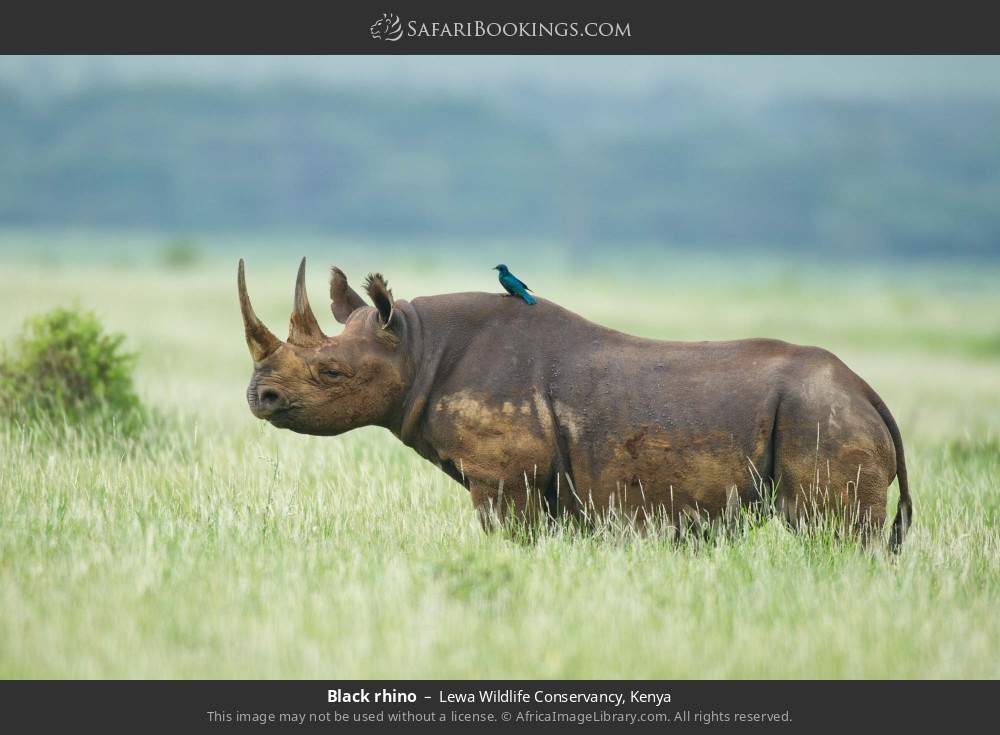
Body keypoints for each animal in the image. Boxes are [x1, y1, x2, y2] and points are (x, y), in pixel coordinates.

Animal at [238, 258, 912, 550]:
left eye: (330, 372)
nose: (258, 396)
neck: (416, 347)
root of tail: (867, 392)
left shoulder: (503, 476)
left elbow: (508, 537)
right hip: (825, 409)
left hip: (820, 413)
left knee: (832, 532)